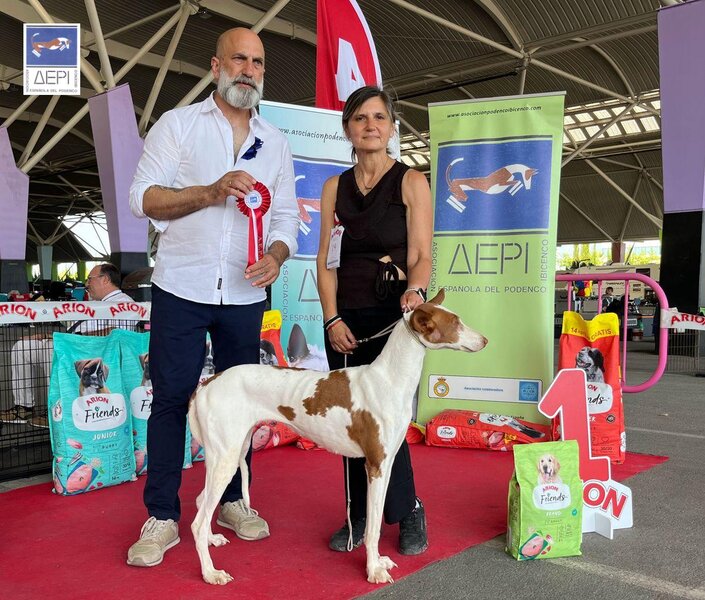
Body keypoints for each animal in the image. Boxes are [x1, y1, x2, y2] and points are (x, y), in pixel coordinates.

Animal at [189, 289, 487, 586]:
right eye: (455, 323)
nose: (485, 340)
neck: (390, 379)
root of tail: (206, 384)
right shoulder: (375, 465)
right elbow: (373, 528)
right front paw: (373, 570)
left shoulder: (387, 463)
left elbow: (377, 518)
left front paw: (379, 562)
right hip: (226, 458)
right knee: (198, 522)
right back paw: (210, 572)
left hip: (228, 452)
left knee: (201, 502)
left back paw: (212, 540)